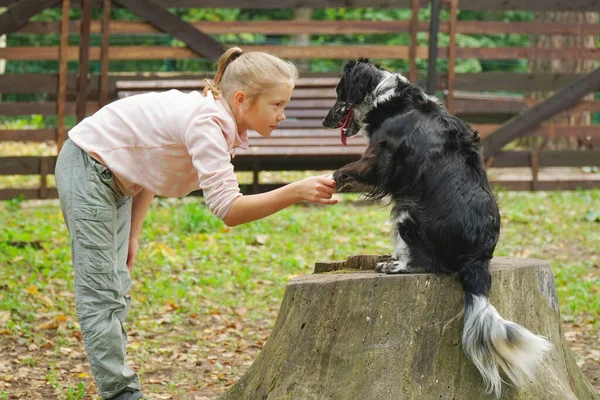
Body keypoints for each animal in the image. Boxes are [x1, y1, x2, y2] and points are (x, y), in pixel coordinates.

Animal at [322, 58, 552, 396]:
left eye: (339, 92)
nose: (325, 120)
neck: (387, 97)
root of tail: (477, 259)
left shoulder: (379, 157)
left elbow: (346, 170)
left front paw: (327, 181)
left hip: (407, 210)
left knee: (422, 262)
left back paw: (393, 265)